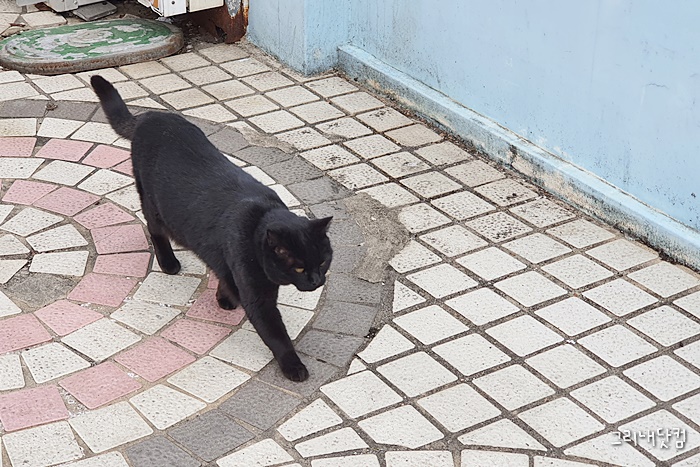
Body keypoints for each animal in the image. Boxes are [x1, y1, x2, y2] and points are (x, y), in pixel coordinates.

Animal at [91, 75, 332, 382]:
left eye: (323, 262)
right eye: (299, 267)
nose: (317, 281)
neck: (260, 219)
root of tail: (150, 116)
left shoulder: (229, 263)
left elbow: (223, 274)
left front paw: (223, 297)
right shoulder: (258, 298)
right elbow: (276, 334)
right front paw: (293, 365)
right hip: (152, 204)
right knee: (155, 230)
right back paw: (168, 263)